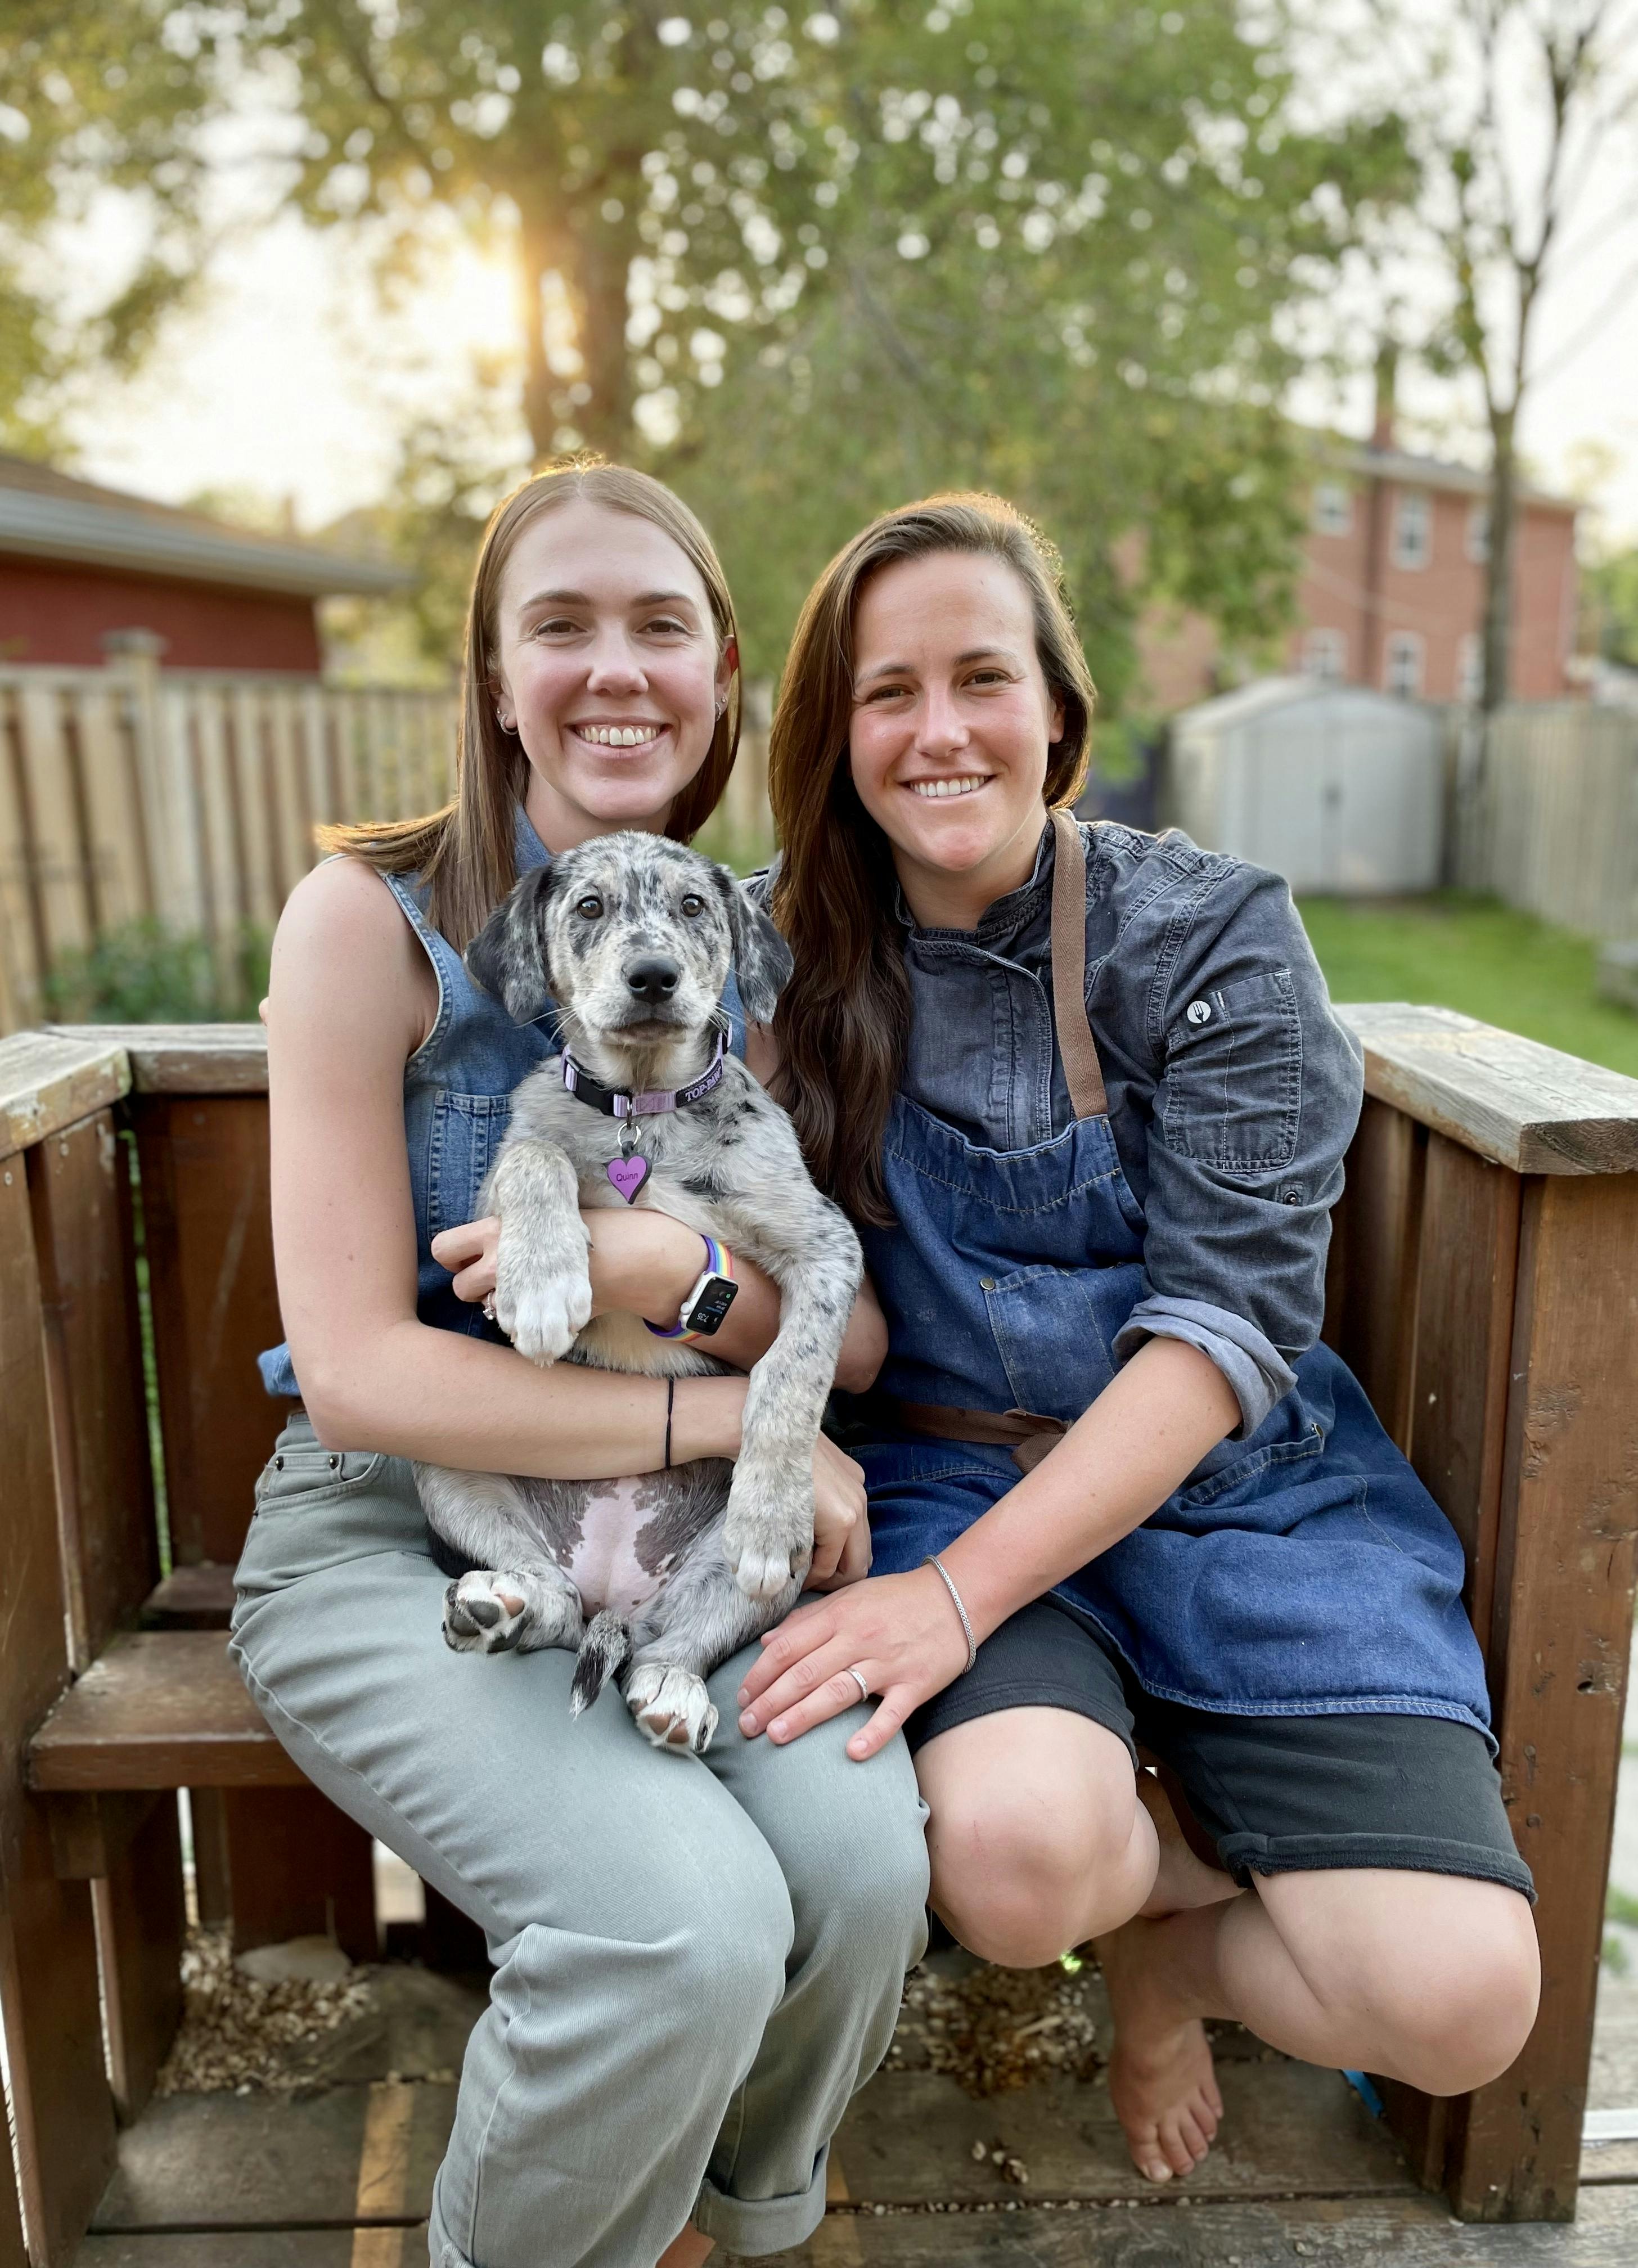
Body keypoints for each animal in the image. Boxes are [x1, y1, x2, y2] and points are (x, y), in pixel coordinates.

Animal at [415, 834, 862, 1750]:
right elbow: (537, 1156)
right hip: (444, 1461)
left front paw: (769, 1509)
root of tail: (613, 1589)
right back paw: (497, 1605)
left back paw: (672, 1689)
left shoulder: (827, 1244)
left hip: (758, 1578)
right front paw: (543, 1285)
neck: (641, 1107)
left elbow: (792, 1373)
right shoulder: (474, 1229)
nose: (653, 976)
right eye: (589, 907)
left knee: (671, 1640)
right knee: (550, 1600)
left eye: (693, 906)